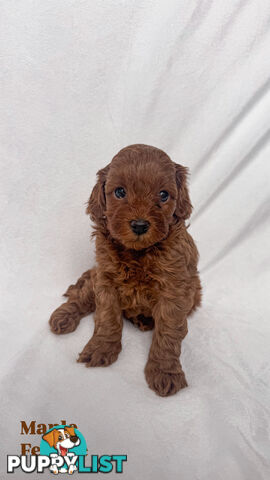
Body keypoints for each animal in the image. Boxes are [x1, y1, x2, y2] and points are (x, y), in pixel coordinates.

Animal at [49, 143, 201, 398]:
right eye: (120, 192)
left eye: (163, 195)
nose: (139, 225)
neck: (137, 254)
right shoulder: (105, 281)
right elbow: (107, 318)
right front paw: (101, 348)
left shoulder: (174, 291)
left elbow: (168, 334)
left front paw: (165, 372)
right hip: (94, 277)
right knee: (81, 297)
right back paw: (63, 317)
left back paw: (143, 320)